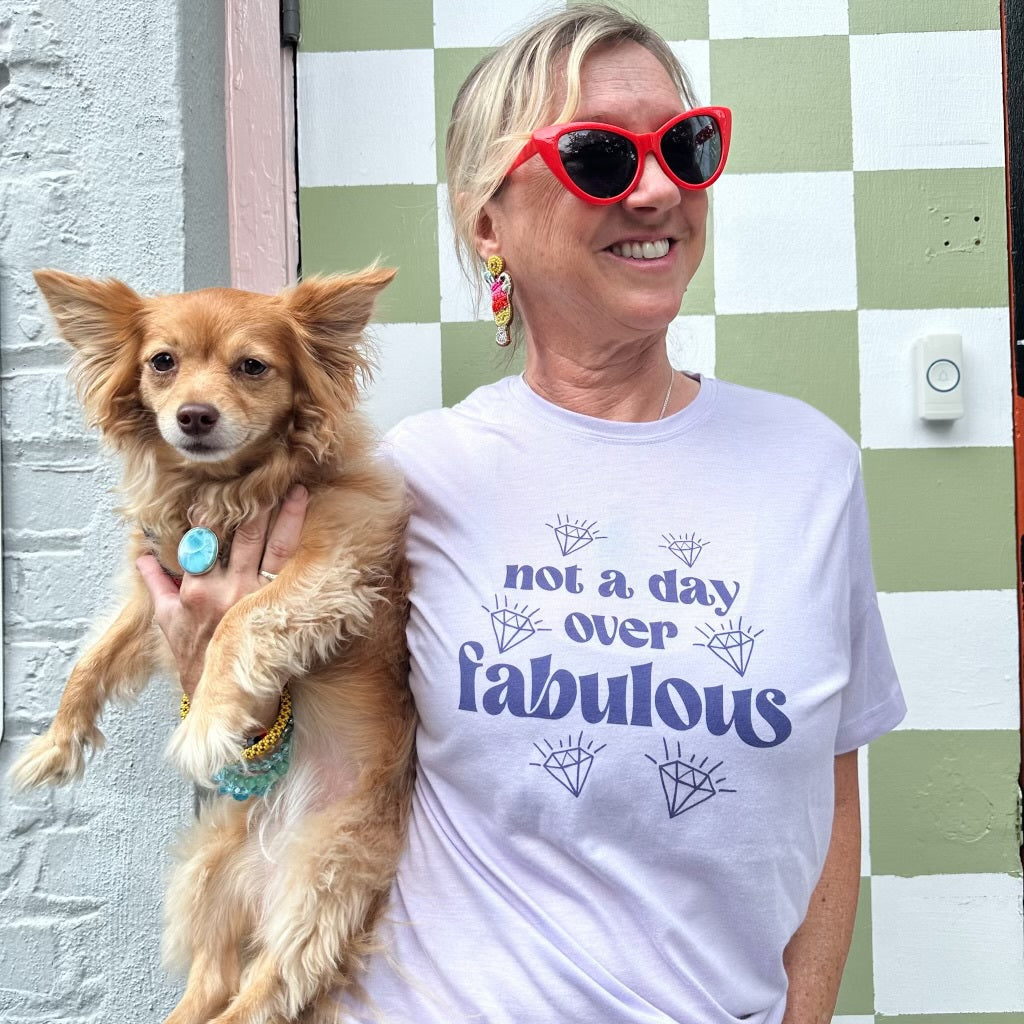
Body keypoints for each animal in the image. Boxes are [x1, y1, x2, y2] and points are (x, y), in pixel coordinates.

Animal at [8, 268, 415, 1019]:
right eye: (162, 362)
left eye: (252, 367)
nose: (194, 415)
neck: (221, 492)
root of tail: (267, 865)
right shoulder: (157, 590)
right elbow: (92, 657)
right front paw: (54, 743)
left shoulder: (329, 566)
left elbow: (238, 624)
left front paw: (205, 726)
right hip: (206, 874)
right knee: (210, 982)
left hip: (318, 893)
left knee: (257, 998)